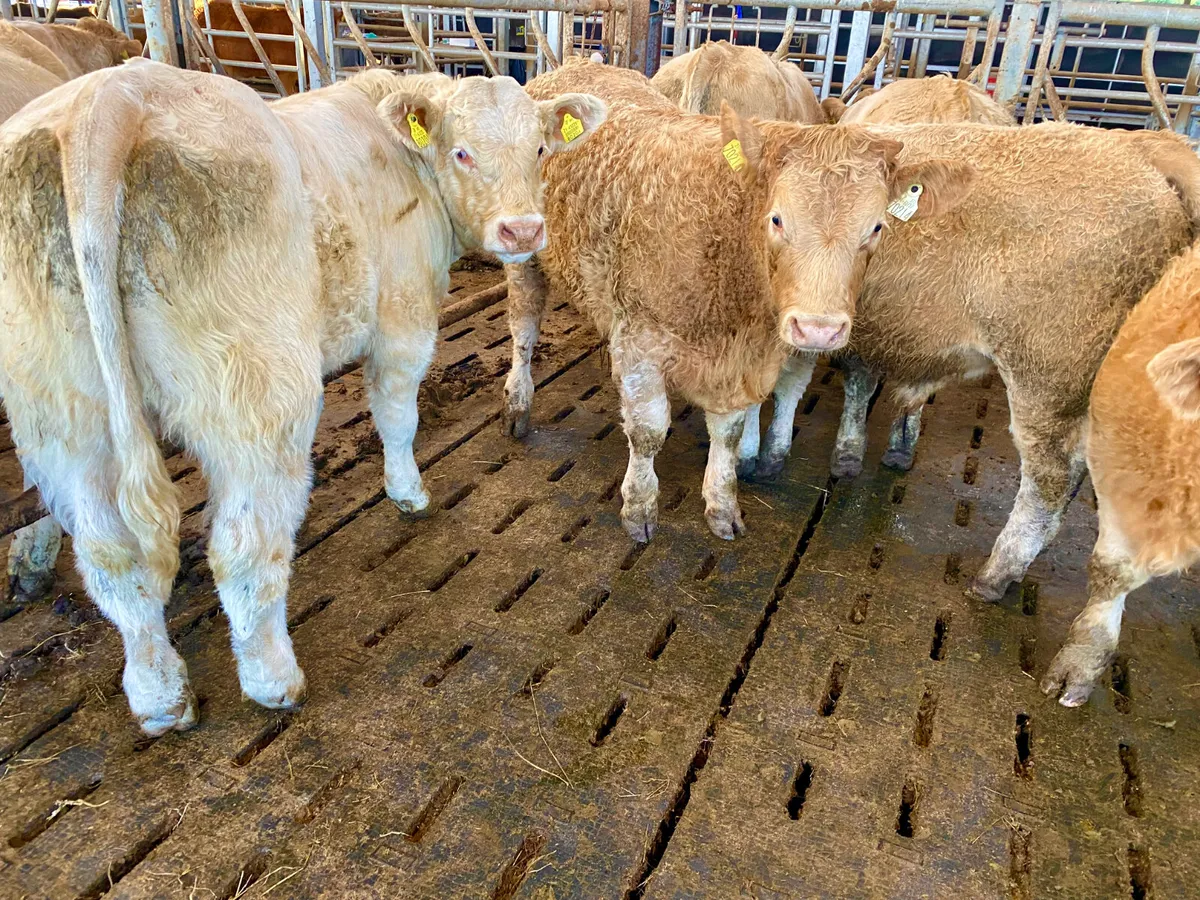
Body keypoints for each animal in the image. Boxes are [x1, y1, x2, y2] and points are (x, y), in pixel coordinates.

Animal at [0, 59, 604, 734]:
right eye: (462, 151)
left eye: (540, 149)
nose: (522, 229)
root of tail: (110, 98)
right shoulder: (403, 318)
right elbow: (397, 414)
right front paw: (409, 493)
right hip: (257, 392)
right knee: (242, 546)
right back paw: (273, 680)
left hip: (65, 414)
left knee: (112, 557)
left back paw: (159, 697)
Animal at [502, 58, 971, 541]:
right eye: (777, 219)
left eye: (876, 227)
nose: (818, 329)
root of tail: (575, 65)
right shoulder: (640, 342)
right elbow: (648, 431)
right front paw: (640, 507)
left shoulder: (745, 359)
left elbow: (729, 432)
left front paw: (722, 504)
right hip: (523, 252)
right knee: (524, 326)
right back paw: (519, 403)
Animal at [742, 122, 1200, 604]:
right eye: (778, 219)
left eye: (876, 227)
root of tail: (1142, 144)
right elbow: (857, 383)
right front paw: (854, 453)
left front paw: (762, 457)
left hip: (1045, 377)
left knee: (1051, 479)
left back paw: (996, 574)